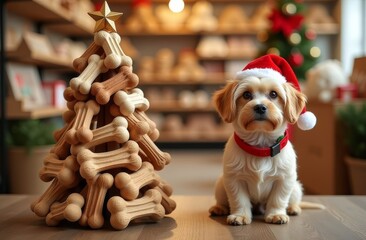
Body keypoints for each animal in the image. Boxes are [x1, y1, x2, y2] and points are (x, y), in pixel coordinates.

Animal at [209, 54, 324, 225]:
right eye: (246, 95)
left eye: (274, 94)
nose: (260, 107)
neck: (260, 146)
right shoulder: (234, 179)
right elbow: (238, 200)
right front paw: (240, 215)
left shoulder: (284, 179)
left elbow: (278, 199)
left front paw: (276, 214)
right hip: (220, 185)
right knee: (223, 201)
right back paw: (219, 208)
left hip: (296, 187)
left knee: (293, 200)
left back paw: (293, 208)